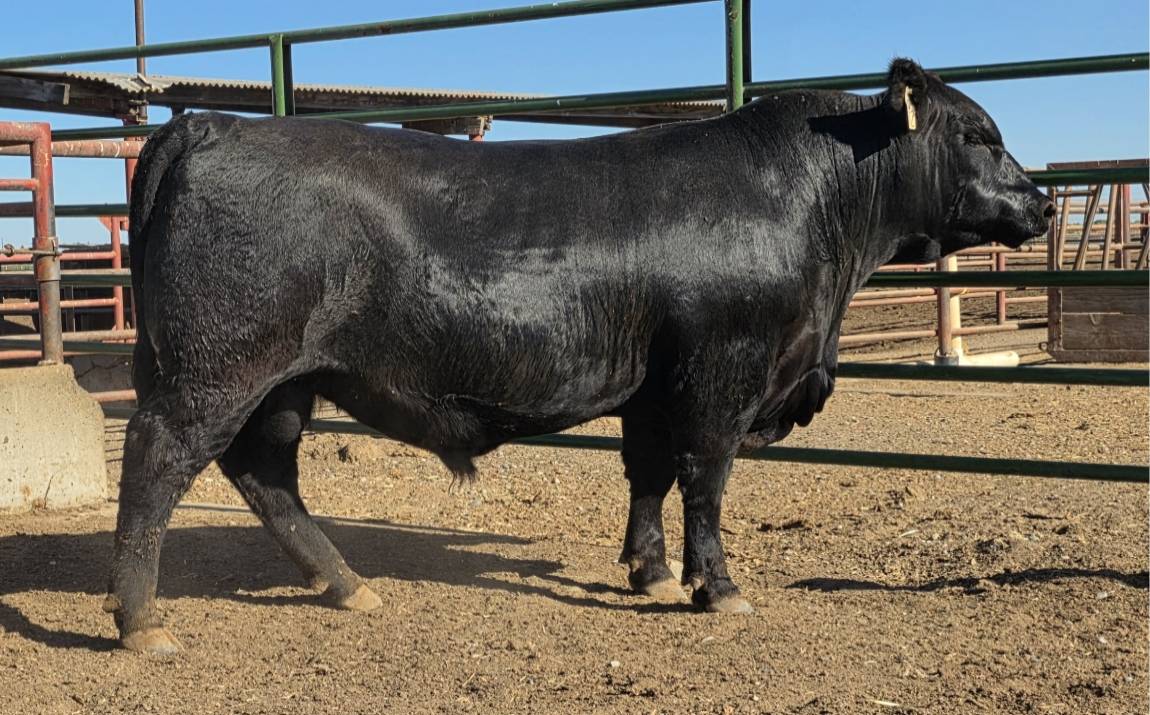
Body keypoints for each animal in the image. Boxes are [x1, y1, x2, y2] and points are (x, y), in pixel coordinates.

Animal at [104, 59, 1053, 654]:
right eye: (979, 133)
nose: (1042, 202)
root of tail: (209, 126)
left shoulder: (654, 386)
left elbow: (648, 474)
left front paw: (649, 571)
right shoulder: (721, 376)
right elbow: (706, 480)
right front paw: (715, 585)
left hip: (284, 382)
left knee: (264, 475)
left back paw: (345, 583)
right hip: (215, 370)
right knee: (156, 462)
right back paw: (140, 620)